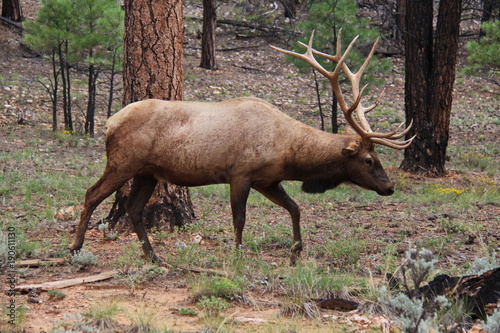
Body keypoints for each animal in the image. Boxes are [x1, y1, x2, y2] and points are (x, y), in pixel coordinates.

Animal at [70, 31, 414, 264]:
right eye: (369, 159)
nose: (389, 187)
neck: (290, 154)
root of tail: (109, 122)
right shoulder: (241, 174)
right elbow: (239, 219)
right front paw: (237, 253)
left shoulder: (268, 180)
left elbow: (295, 208)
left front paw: (296, 251)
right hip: (123, 162)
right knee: (91, 194)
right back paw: (75, 248)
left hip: (148, 173)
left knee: (133, 208)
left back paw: (153, 256)